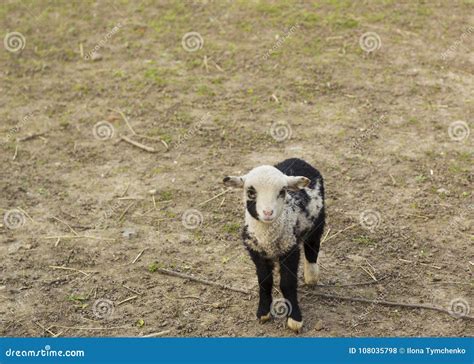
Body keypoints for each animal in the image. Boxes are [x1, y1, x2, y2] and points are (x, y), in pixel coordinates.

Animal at [224, 156, 324, 332]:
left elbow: (287, 284)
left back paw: (311, 276)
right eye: (251, 192)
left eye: (282, 191)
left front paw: (295, 319)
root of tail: (298, 159)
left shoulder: (290, 249)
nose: (268, 212)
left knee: (312, 246)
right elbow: (264, 282)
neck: (267, 237)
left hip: (318, 221)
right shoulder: (256, 251)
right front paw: (263, 313)